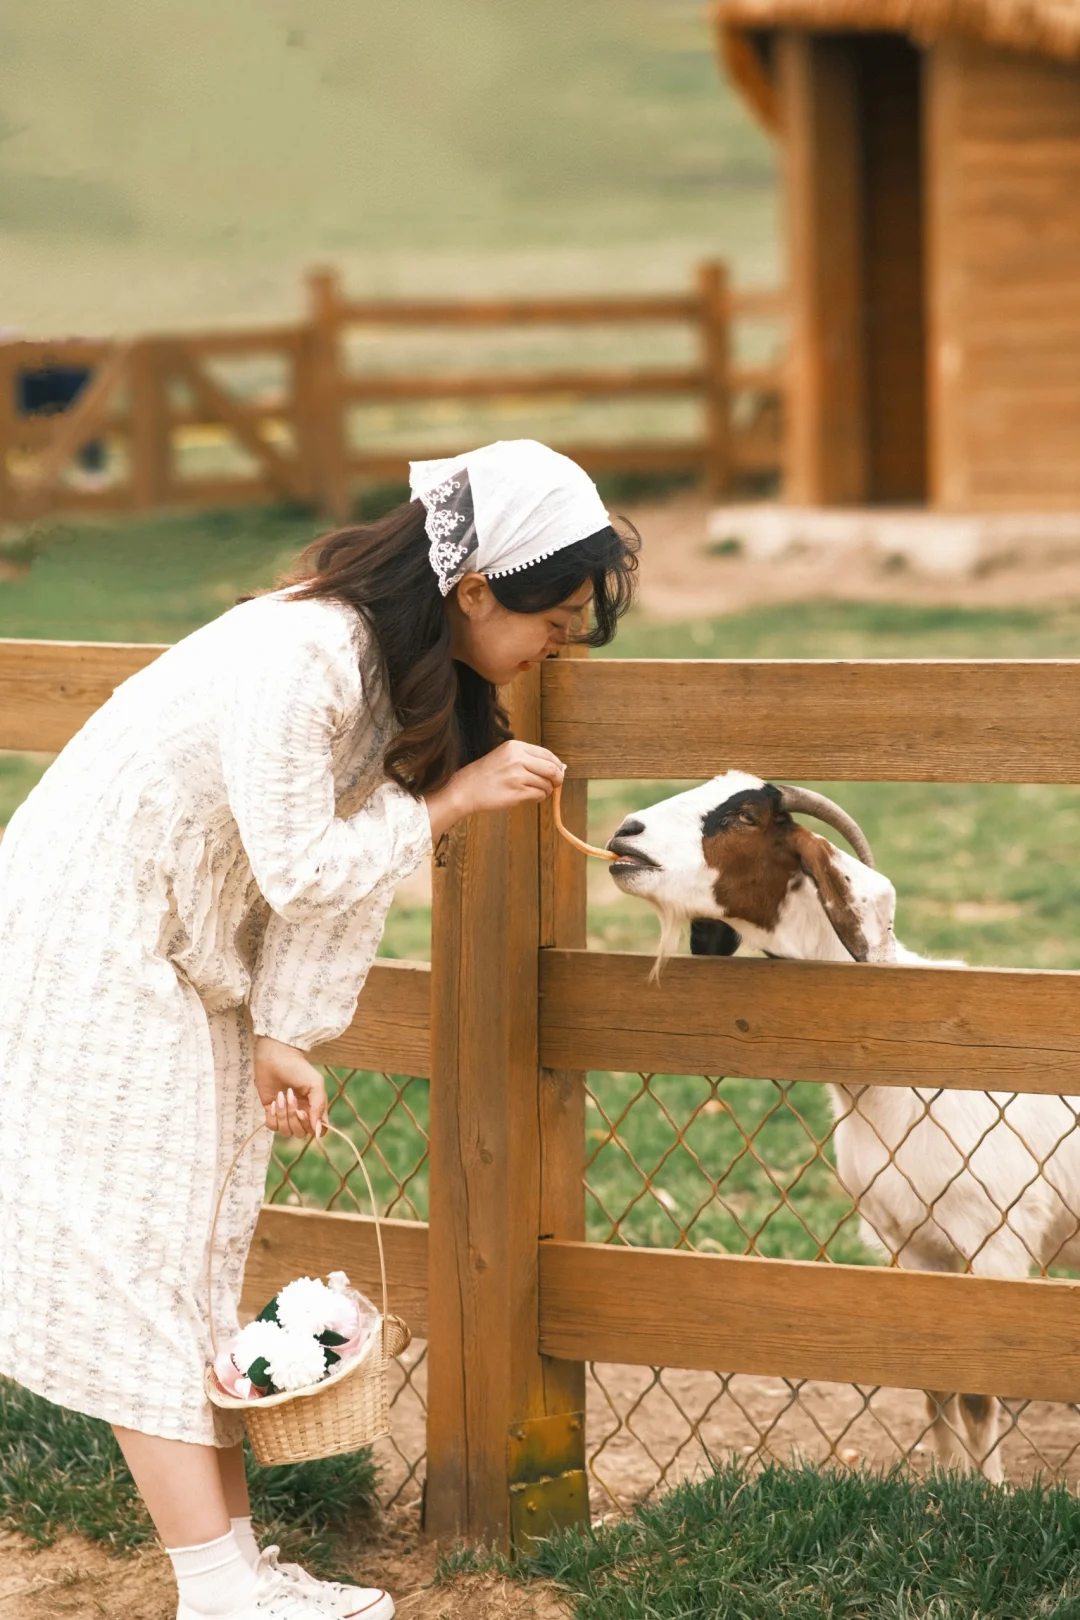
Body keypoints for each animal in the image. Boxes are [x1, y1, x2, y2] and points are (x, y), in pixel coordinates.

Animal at [608, 771, 1080, 1483]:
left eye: (747, 816)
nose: (625, 833)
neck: (891, 1083)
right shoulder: (911, 1245)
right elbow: (936, 1385)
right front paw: (947, 1487)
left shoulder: (996, 1242)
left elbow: (978, 1390)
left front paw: (992, 1493)